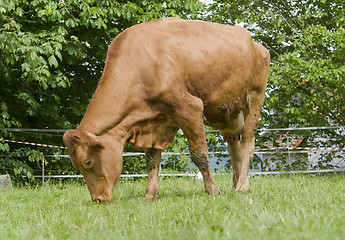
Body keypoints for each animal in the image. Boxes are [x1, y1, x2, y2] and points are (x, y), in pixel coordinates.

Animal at [63, 17, 270, 202]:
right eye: (77, 166)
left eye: (88, 162)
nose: (98, 199)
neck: (140, 65)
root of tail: (256, 44)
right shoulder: (153, 122)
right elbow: (152, 160)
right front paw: (150, 195)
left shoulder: (190, 108)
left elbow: (199, 154)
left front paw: (212, 190)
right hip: (228, 113)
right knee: (234, 148)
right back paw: (235, 186)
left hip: (254, 99)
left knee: (247, 144)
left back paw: (242, 186)